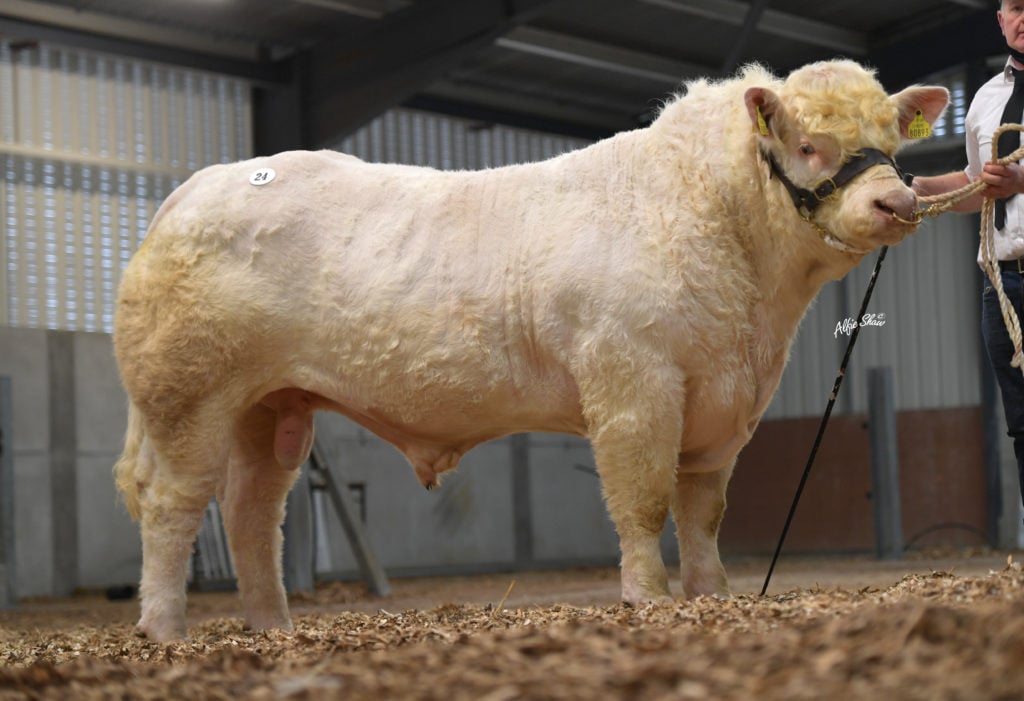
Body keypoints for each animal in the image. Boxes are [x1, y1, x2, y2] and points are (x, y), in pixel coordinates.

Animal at [113, 60, 948, 641]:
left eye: (890, 140)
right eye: (810, 144)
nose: (896, 201)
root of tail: (195, 189)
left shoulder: (723, 403)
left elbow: (703, 511)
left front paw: (711, 595)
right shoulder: (633, 380)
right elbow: (644, 499)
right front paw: (647, 597)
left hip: (269, 404)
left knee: (254, 509)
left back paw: (272, 625)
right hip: (189, 394)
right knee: (174, 501)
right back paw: (165, 626)